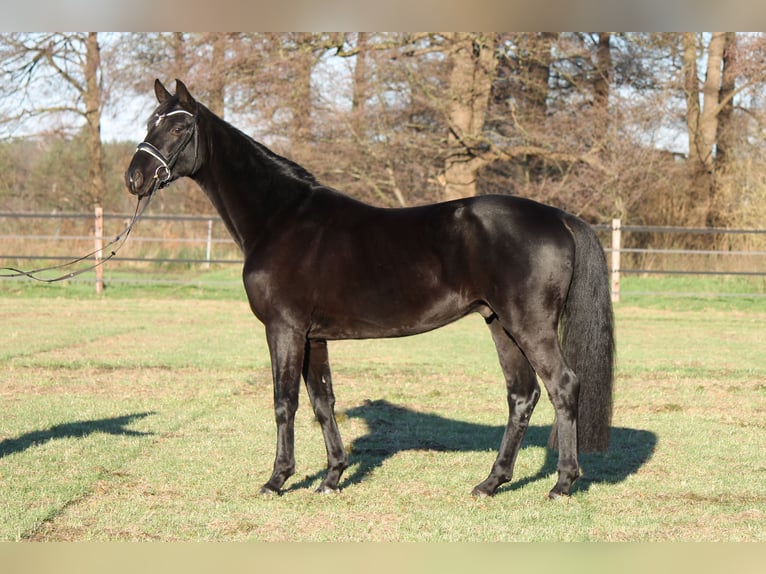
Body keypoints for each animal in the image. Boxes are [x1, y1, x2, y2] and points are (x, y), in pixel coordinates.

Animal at [127, 80, 616, 500]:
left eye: (178, 126)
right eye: (150, 121)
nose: (135, 178)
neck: (281, 218)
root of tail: (558, 217)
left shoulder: (284, 329)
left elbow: (285, 401)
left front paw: (277, 480)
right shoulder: (314, 336)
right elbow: (322, 401)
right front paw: (332, 477)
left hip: (530, 325)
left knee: (563, 386)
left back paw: (562, 484)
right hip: (500, 324)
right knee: (522, 396)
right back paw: (490, 483)